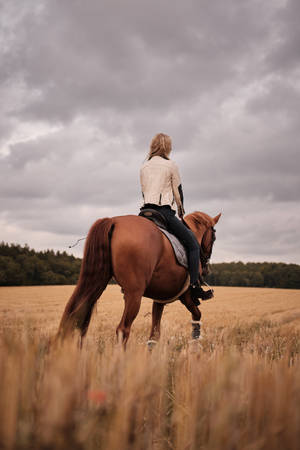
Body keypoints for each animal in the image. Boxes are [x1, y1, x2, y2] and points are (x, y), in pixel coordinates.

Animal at [57, 213, 220, 342]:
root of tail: (114, 221)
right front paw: (195, 341)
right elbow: (197, 315)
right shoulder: (186, 296)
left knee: (76, 318)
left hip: (98, 281)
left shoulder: (160, 299)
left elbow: (155, 334)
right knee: (123, 329)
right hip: (134, 294)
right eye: (213, 237)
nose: (206, 269)